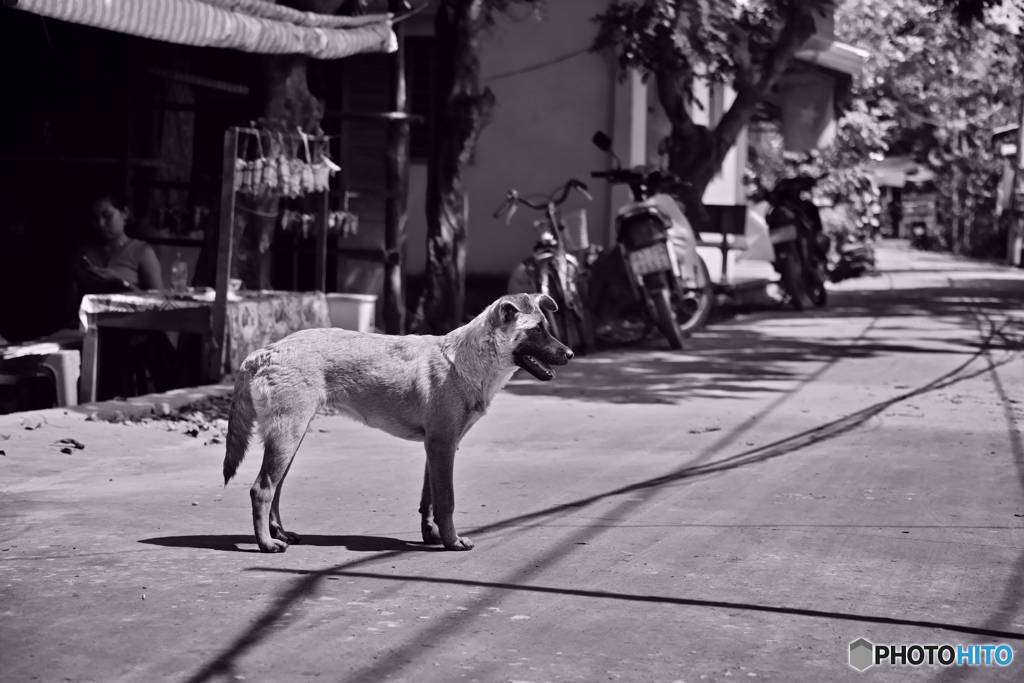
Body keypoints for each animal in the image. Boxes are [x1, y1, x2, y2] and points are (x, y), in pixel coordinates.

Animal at [223, 290, 573, 552]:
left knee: (275, 489)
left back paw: (280, 534)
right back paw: (266, 543)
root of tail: (265, 352)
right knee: (262, 489)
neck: (467, 361)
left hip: (290, 438)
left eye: (545, 326)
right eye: (536, 330)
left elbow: (429, 500)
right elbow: (447, 501)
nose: (569, 354)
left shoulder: (437, 448)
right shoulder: (442, 446)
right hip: (288, 435)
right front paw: (452, 541)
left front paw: (432, 536)